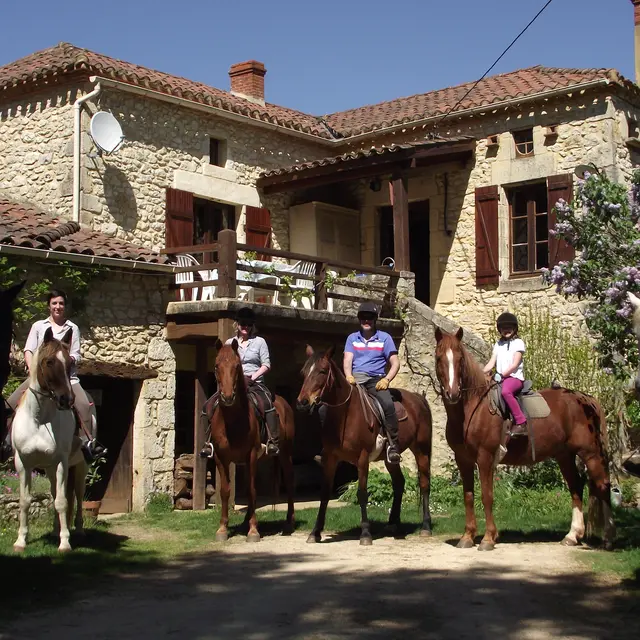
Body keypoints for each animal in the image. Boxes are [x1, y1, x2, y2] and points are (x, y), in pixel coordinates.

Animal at [209, 338, 296, 544]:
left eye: (236, 366)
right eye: (217, 366)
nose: (227, 397)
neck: (233, 421)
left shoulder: (251, 455)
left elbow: (252, 491)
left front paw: (254, 531)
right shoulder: (221, 457)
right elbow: (225, 491)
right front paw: (222, 529)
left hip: (284, 454)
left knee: (289, 482)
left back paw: (288, 523)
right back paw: (244, 523)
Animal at [298, 344, 432, 544]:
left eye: (322, 371)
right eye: (304, 372)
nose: (303, 402)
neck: (345, 416)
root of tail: (418, 398)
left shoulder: (362, 459)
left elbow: (362, 493)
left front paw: (366, 534)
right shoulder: (330, 459)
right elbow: (325, 493)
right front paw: (315, 532)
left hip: (421, 450)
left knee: (424, 484)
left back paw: (425, 526)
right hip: (390, 458)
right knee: (399, 483)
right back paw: (393, 524)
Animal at [436, 328, 616, 552]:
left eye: (460, 359)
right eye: (439, 357)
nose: (452, 393)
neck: (473, 408)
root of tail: (586, 399)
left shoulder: (485, 457)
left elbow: (487, 496)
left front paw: (488, 539)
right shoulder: (463, 460)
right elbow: (468, 496)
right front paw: (467, 537)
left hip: (590, 453)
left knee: (603, 486)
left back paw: (608, 539)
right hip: (565, 455)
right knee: (576, 486)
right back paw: (572, 536)